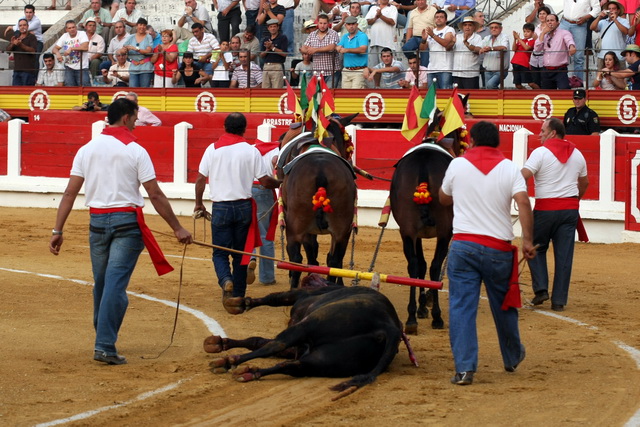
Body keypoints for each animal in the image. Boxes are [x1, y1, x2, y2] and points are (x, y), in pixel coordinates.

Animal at [204, 278, 416, 402]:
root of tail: (388, 326)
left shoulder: (300, 296)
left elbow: (275, 299)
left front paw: (238, 303)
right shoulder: (299, 349)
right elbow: (256, 339)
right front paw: (220, 343)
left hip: (309, 326)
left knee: (276, 345)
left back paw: (229, 362)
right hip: (324, 361)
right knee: (291, 366)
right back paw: (249, 372)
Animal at [280, 114, 360, 288]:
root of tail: (321, 171)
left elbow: (311, 253)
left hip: (296, 226)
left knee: (297, 259)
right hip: (342, 228)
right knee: (334, 260)